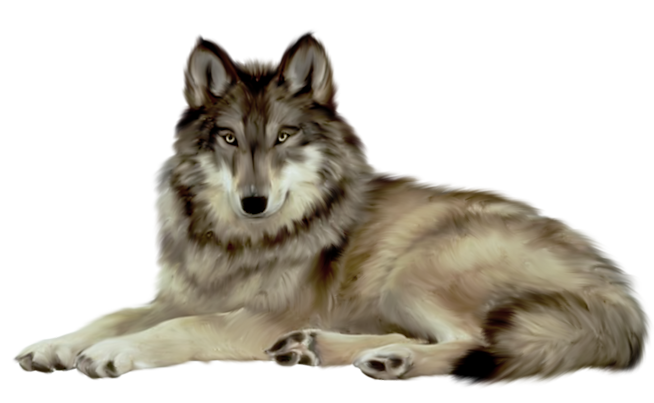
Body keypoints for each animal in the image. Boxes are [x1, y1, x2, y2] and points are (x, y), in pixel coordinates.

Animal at [12, 28, 653, 388]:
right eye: (229, 139)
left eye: (283, 137)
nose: (253, 201)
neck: (237, 241)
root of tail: (623, 291)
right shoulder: (177, 295)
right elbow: (111, 314)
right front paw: (54, 345)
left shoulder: (255, 315)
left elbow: (180, 327)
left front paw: (114, 353)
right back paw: (320, 349)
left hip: (415, 268)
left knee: (470, 341)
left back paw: (387, 359)